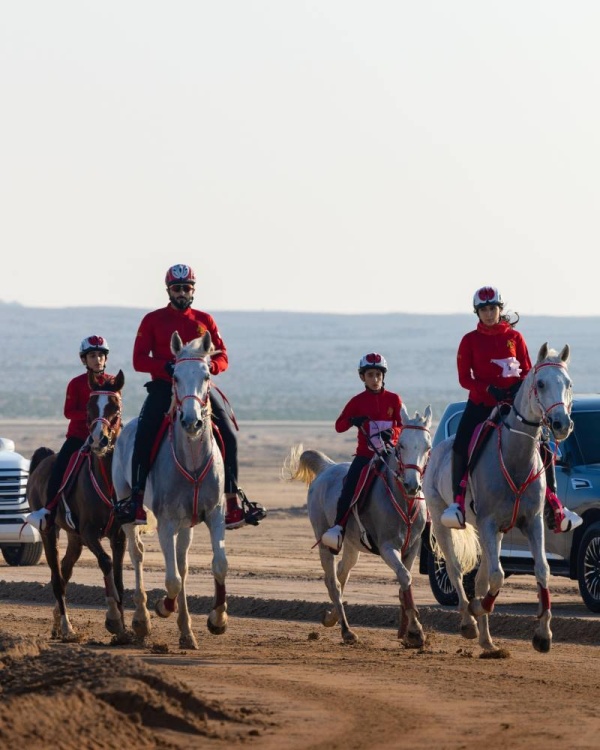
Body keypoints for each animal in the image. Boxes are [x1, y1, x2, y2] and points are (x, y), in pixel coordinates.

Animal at [27, 370, 129, 640]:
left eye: (116, 407)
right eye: (89, 407)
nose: (98, 440)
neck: (107, 481)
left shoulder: (118, 535)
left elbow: (118, 576)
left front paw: (124, 631)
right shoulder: (90, 532)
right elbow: (106, 563)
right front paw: (113, 618)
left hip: (74, 538)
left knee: (65, 570)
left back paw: (56, 622)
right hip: (49, 531)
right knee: (56, 577)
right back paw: (66, 627)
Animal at [286, 406, 432, 648]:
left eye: (427, 447)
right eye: (401, 445)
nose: (412, 485)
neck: (403, 500)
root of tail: (327, 467)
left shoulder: (412, 548)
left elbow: (405, 584)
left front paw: (406, 632)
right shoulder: (387, 547)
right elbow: (404, 577)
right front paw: (416, 631)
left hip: (352, 546)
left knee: (342, 574)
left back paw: (332, 617)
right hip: (324, 541)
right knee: (333, 582)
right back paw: (346, 631)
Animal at [424, 344, 576, 656]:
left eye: (568, 384)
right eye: (541, 384)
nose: (561, 424)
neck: (515, 455)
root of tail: (438, 448)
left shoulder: (532, 522)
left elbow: (541, 570)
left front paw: (543, 635)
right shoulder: (489, 523)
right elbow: (497, 576)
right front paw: (478, 608)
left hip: (492, 533)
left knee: (481, 577)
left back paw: (488, 641)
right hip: (445, 523)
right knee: (456, 571)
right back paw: (469, 622)